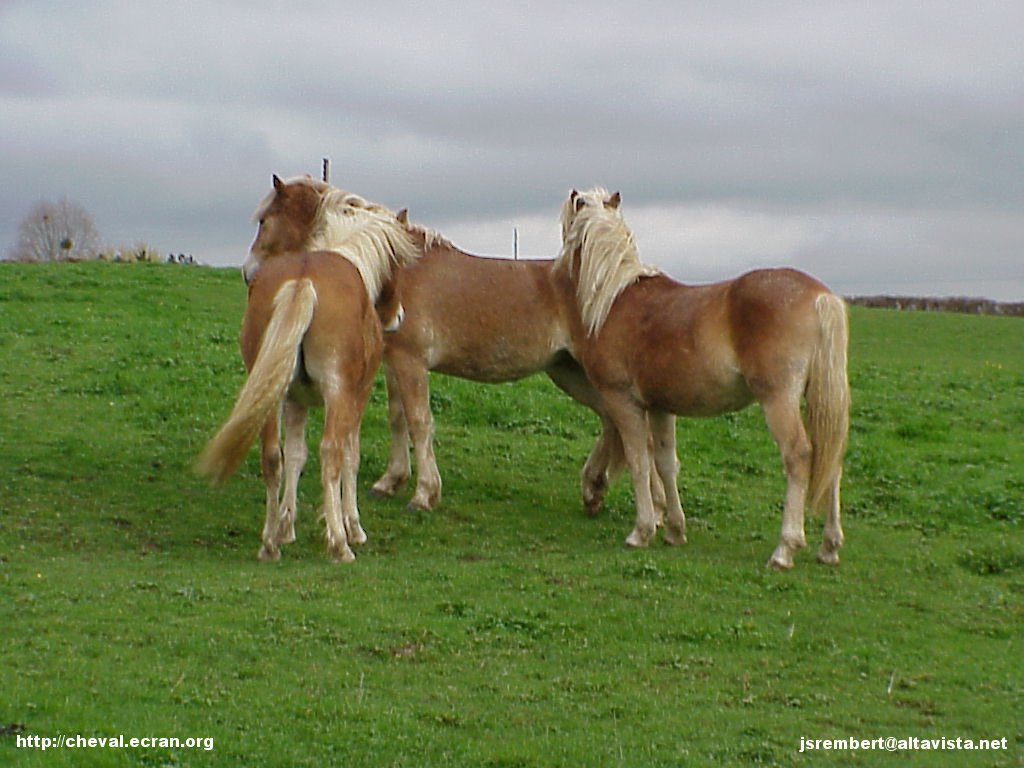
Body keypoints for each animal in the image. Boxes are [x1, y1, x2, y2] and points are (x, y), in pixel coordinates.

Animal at [197, 174, 417, 561]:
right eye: (399, 264)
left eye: (264, 220)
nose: (398, 317)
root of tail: (302, 282)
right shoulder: (355, 396)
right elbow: (349, 455)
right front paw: (350, 526)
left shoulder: (295, 401)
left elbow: (296, 456)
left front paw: (286, 527)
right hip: (336, 394)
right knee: (330, 453)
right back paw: (340, 546)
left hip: (270, 398)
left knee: (272, 457)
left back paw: (269, 544)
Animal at [557, 188, 851, 573]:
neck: (616, 298)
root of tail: (820, 297)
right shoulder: (660, 407)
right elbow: (665, 463)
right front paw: (674, 530)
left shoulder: (623, 402)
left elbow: (638, 461)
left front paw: (641, 532)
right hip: (818, 399)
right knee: (831, 460)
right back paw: (829, 547)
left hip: (779, 400)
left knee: (799, 455)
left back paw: (784, 550)